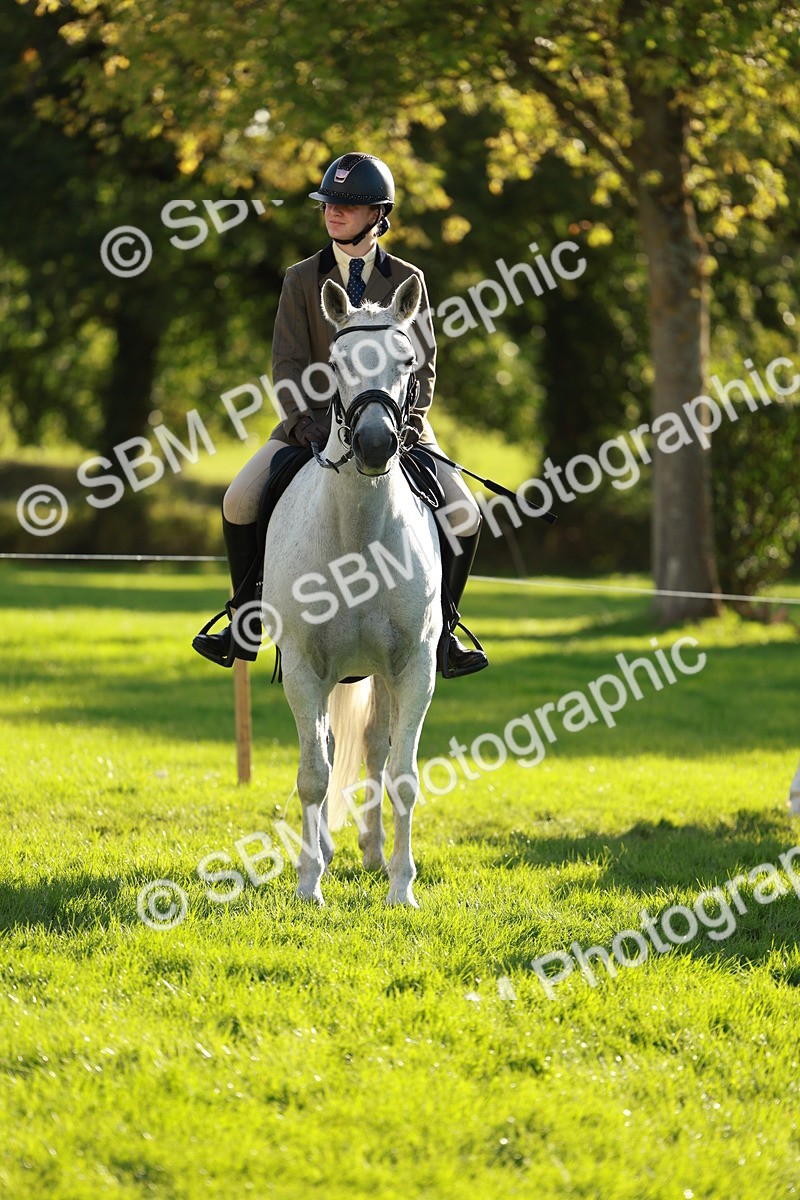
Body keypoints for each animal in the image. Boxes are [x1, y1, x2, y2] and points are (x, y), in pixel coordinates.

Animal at [261, 274, 442, 907]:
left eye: (408, 359)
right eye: (335, 365)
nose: (375, 444)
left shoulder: (415, 666)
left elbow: (403, 777)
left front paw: (402, 890)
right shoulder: (303, 666)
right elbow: (313, 775)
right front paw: (308, 885)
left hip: (381, 675)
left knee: (375, 748)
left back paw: (373, 854)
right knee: (333, 746)